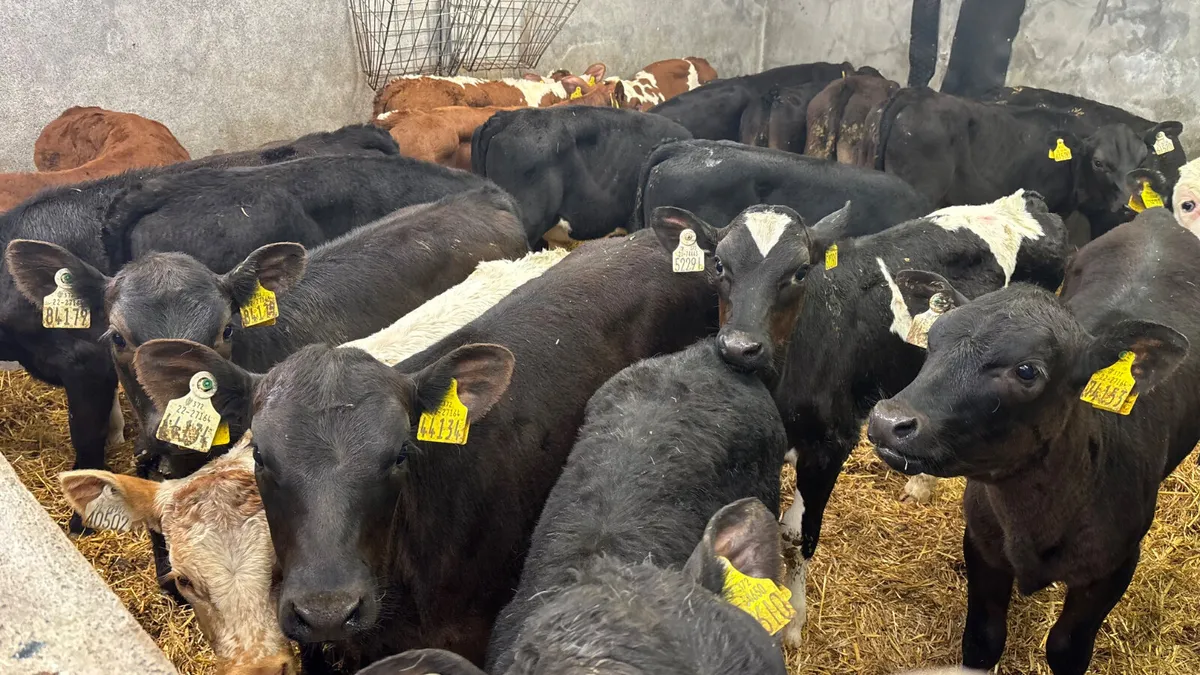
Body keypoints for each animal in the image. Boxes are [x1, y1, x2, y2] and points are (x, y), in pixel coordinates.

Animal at [650, 190, 1070, 646]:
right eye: (719, 265)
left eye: (800, 271)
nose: (740, 346)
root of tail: (1025, 201)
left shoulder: (832, 444)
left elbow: (800, 534)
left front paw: (794, 621)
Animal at [866, 208, 1200, 674]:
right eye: (933, 341)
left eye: (1027, 371)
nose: (887, 420)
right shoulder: (983, 544)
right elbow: (982, 640)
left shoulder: (1114, 566)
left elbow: (1066, 648)